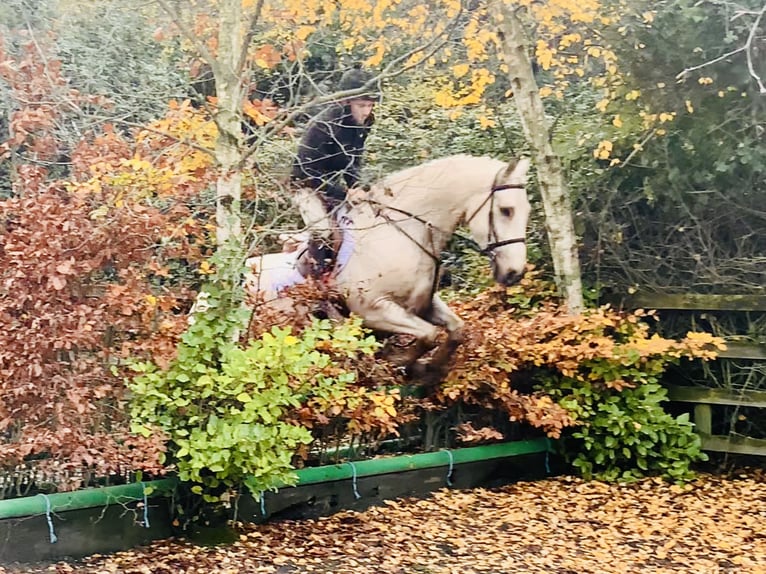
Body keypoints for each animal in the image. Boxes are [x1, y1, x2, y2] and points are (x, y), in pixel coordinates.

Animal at [249, 154, 531, 371]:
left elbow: (456, 329)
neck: (403, 234)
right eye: (506, 210)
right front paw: (401, 360)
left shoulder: (424, 304)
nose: (514, 272)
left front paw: (430, 368)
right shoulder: (373, 310)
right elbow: (429, 333)